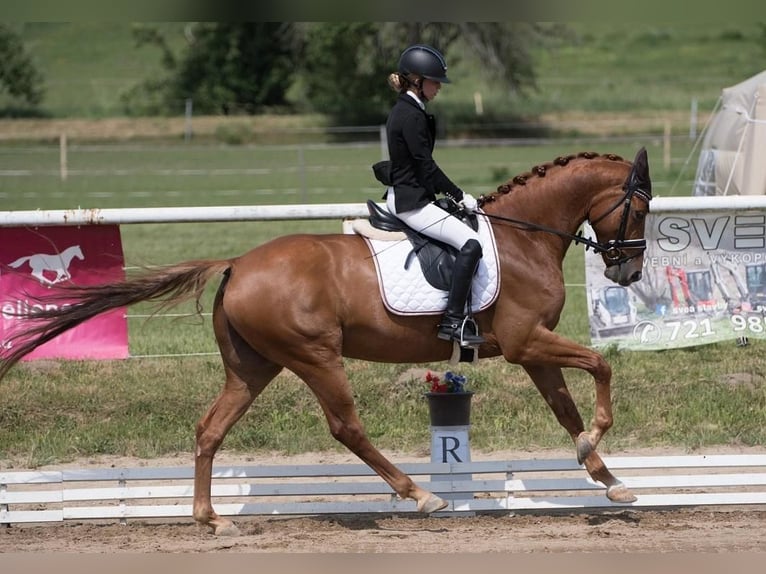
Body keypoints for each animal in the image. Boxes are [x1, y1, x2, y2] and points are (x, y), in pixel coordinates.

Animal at [0, 147, 656, 536]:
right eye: (640, 208)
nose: (627, 274)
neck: (526, 237)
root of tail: (237, 263)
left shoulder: (531, 350)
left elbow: (566, 408)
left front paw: (608, 478)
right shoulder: (526, 343)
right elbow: (600, 366)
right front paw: (599, 449)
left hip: (253, 367)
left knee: (210, 429)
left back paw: (211, 519)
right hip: (314, 355)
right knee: (346, 426)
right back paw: (421, 495)